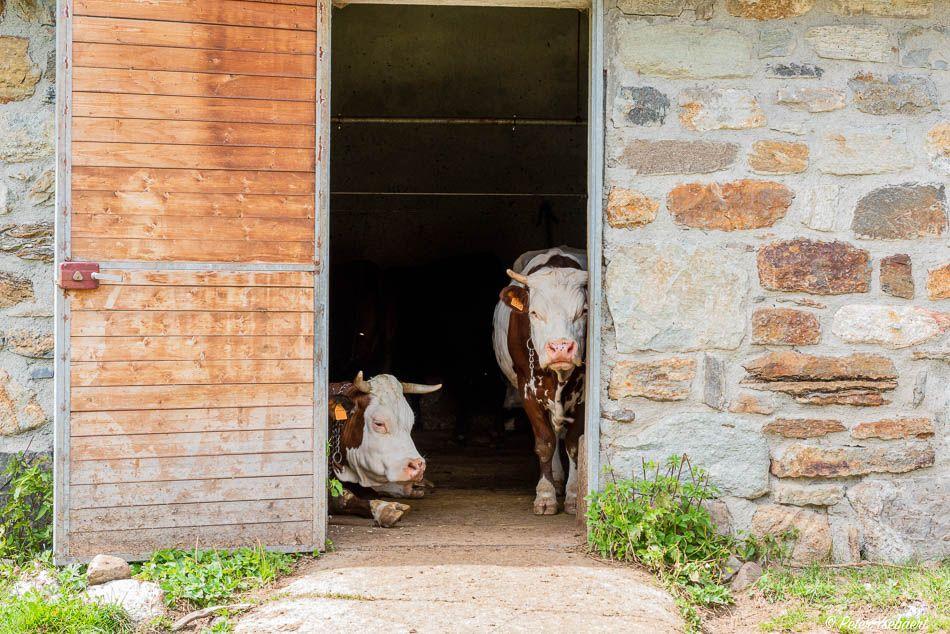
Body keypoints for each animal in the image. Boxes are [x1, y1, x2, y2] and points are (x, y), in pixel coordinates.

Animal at [494, 246, 584, 512]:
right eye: (534, 313)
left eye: (583, 312)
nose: (561, 348)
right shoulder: (527, 388)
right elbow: (545, 443)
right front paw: (545, 495)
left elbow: (574, 444)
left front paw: (574, 494)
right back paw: (556, 479)